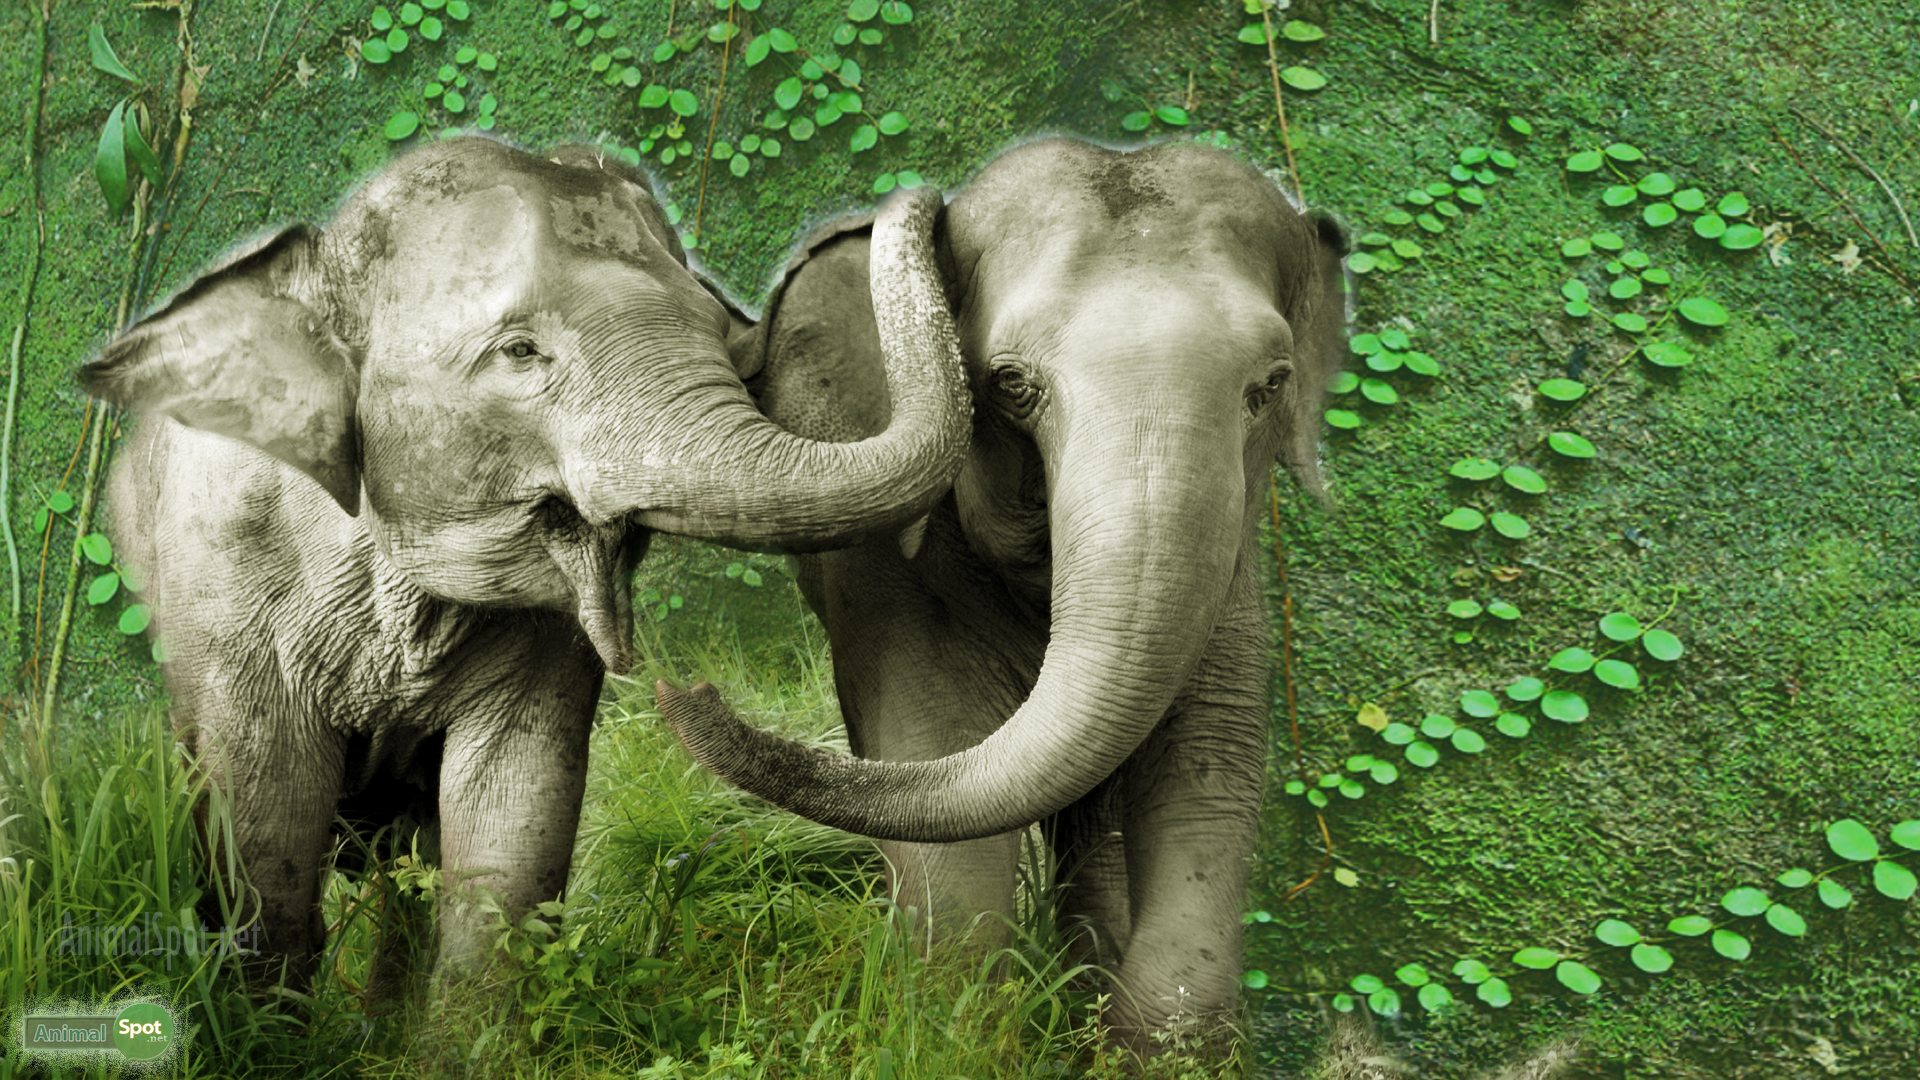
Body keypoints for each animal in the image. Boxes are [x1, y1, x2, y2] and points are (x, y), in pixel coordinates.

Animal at [79, 136, 969, 995]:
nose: (690, 689)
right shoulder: (227, 590)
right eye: (519, 351)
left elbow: (513, 809)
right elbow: (265, 832)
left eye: (719, 331)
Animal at [657, 137, 1349, 1057]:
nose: (685, 686)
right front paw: (954, 1025)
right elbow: (932, 739)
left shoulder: (1231, 569)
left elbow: (1208, 763)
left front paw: (1152, 1038)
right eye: (1012, 385)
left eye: (1269, 386)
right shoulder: (895, 578)